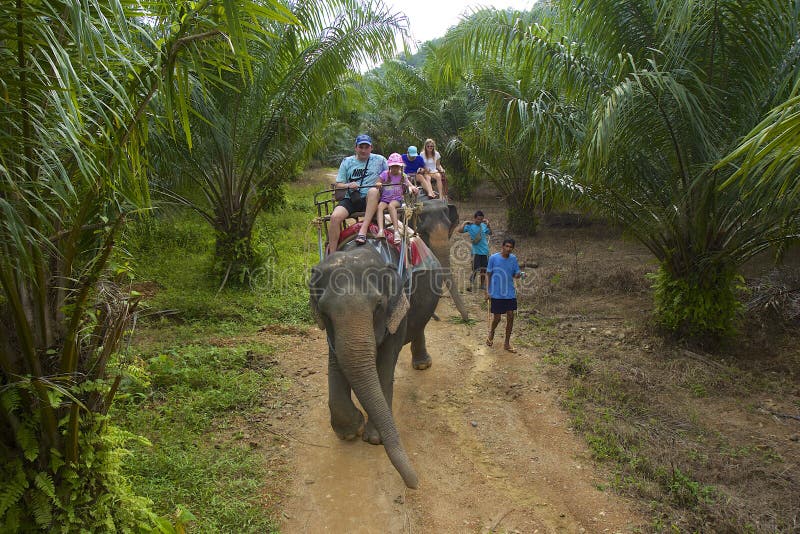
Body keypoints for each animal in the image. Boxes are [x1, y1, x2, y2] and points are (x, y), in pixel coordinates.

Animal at [309, 238, 444, 488]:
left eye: (378, 305)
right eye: (323, 310)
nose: (415, 483)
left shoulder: (398, 306)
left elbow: (386, 363)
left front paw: (373, 438)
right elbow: (336, 359)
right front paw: (350, 431)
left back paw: (422, 365)